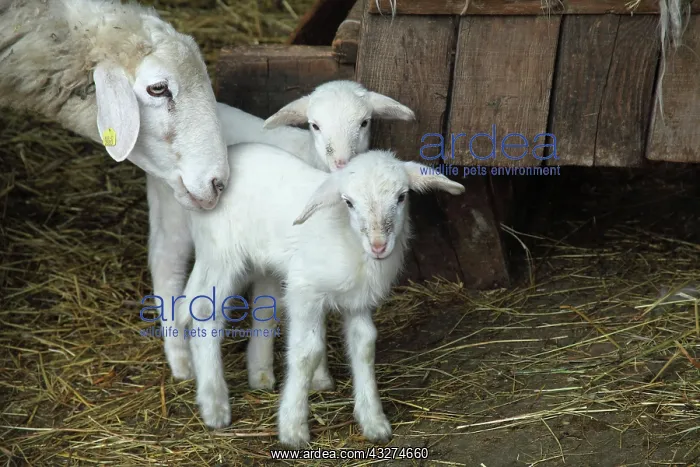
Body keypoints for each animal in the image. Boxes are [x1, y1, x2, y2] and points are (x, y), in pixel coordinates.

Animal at [153, 80, 415, 391]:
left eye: (364, 122)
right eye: (315, 125)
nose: (343, 162)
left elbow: (272, 308)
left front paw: (269, 372)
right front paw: (316, 376)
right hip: (176, 208)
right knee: (166, 264)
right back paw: (180, 359)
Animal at [171, 142, 464, 446]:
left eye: (402, 196)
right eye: (348, 202)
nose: (379, 245)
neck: (348, 239)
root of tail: (230, 152)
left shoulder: (357, 301)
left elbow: (364, 346)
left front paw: (373, 421)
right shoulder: (304, 290)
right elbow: (306, 353)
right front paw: (293, 428)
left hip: (265, 264)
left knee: (263, 309)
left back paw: (260, 376)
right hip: (220, 254)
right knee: (204, 314)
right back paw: (214, 404)